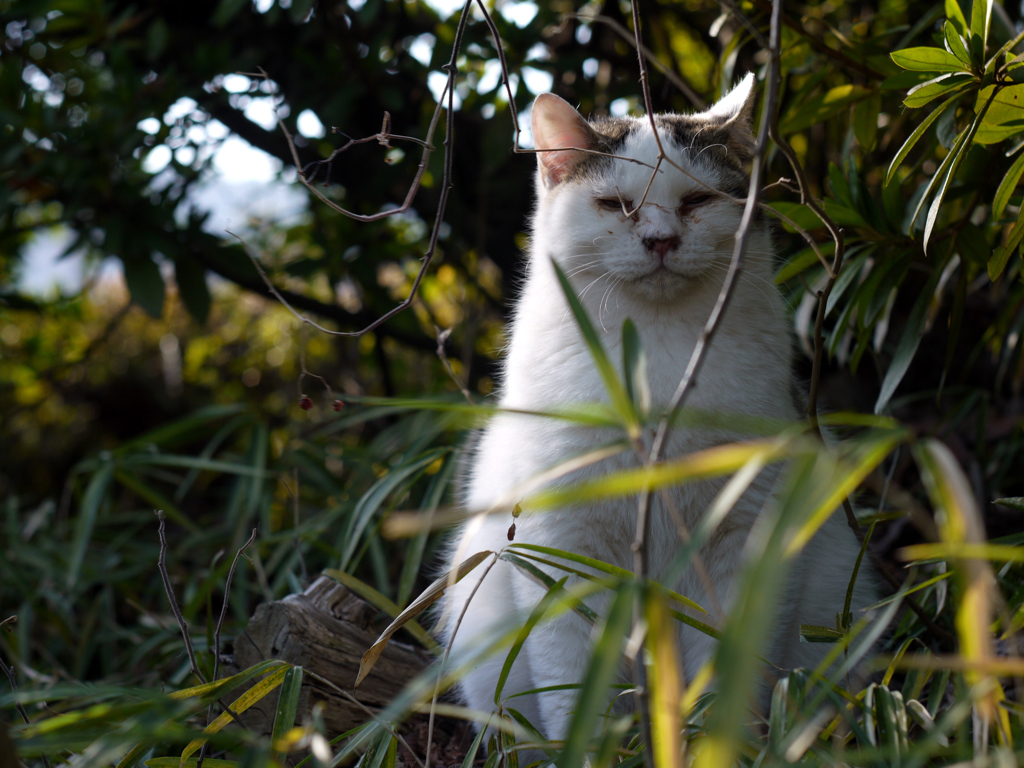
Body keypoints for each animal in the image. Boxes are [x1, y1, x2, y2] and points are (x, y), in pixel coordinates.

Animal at [438, 78, 872, 753]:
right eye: (616, 206)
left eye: (696, 200)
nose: (661, 241)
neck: (655, 356)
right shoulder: (564, 545)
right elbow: (574, 680)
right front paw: (589, 750)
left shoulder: (739, 536)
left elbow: (726, 666)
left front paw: (719, 746)